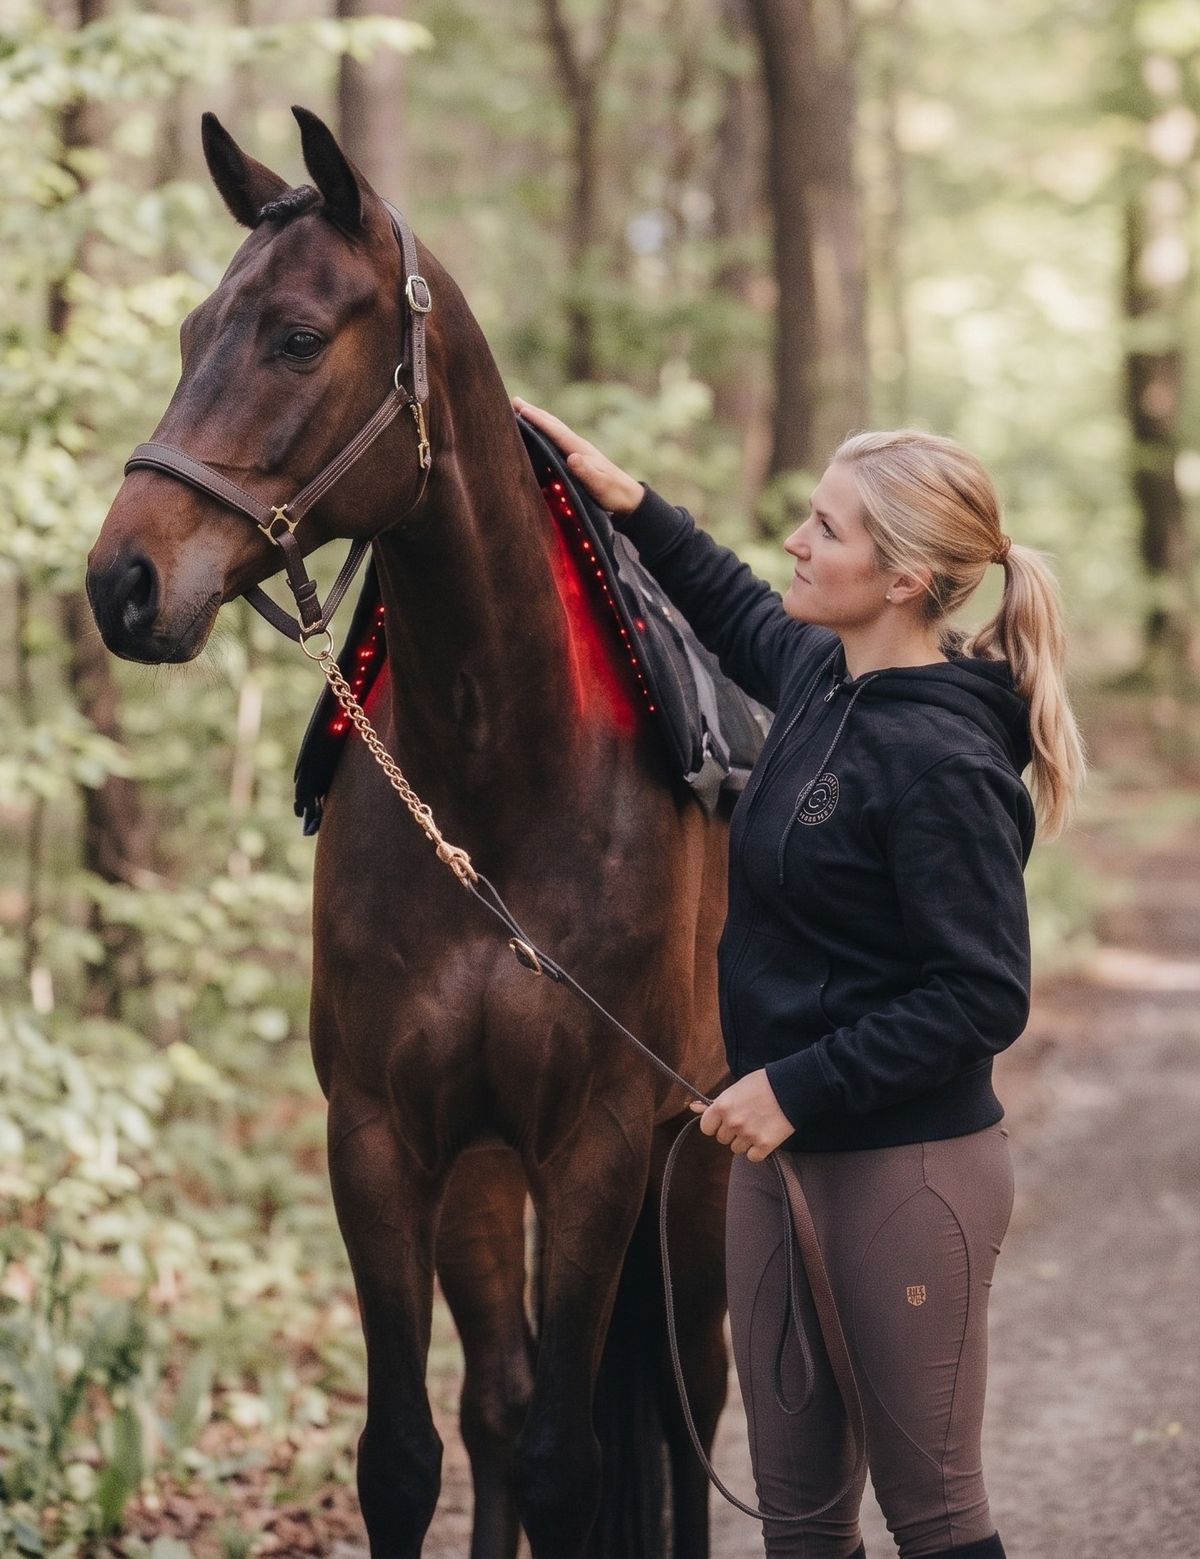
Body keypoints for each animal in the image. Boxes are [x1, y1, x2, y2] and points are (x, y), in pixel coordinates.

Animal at [86, 107, 733, 1559]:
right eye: (189, 333)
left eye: (295, 337)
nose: (121, 581)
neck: (501, 777)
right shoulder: (384, 1136)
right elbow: (406, 1453)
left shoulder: (602, 1140)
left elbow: (569, 1463)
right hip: (487, 1169)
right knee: (497, 1399)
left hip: (695, 1154)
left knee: (693, 1408)